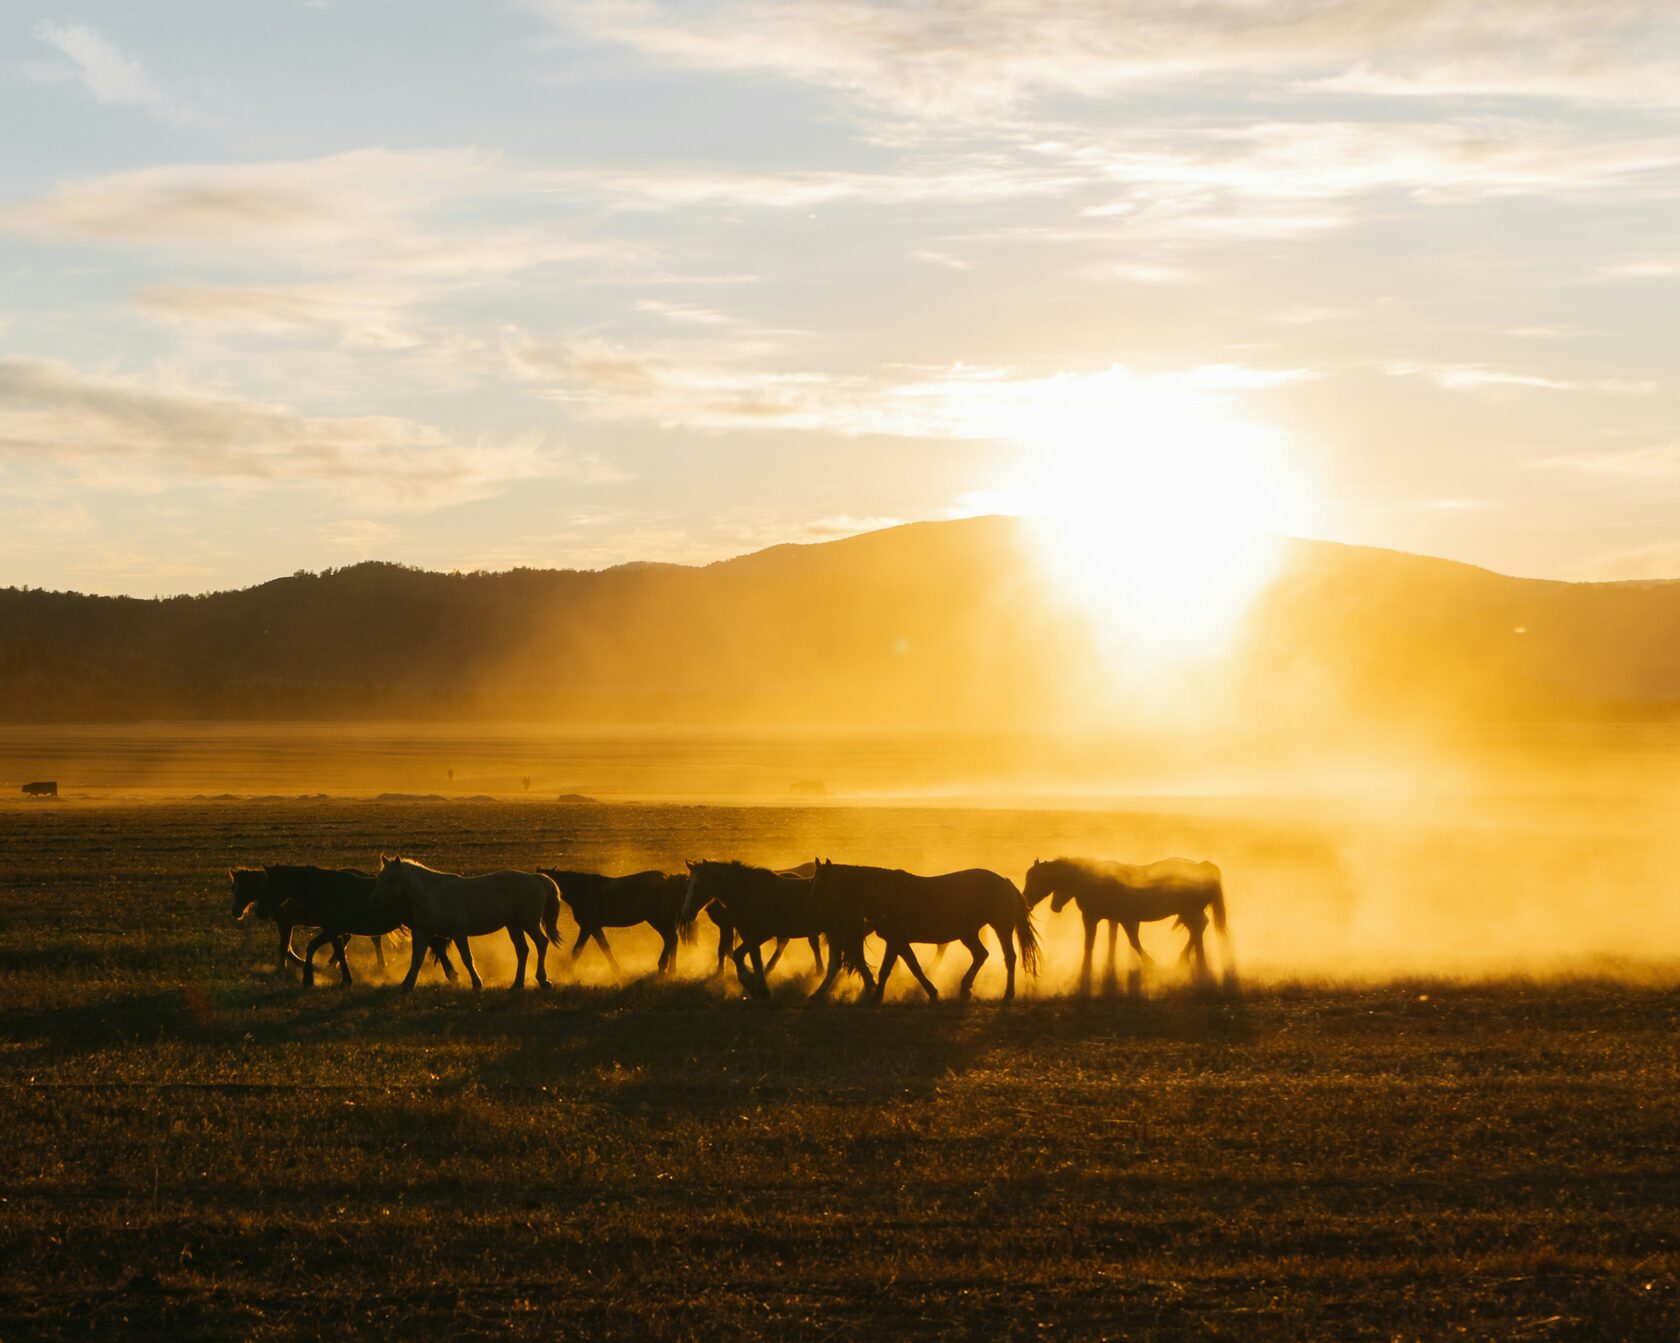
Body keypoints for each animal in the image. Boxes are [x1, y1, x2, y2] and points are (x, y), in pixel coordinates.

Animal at [371, 857, 561, 995]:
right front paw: (406, 987)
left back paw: (543, 980)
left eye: (392, 879)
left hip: (529, 923)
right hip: (513, 925)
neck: (435, 894)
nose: (373, 901)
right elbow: (416, 959)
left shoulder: (458, 932)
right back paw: (517, 984)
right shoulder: (425, 932)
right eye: (380, 877)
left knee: (541, 943)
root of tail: (536, 879)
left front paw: (477, 983)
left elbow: (467, 958)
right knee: (522, 950)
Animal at [540, 874, 692, 974]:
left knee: (671, 938)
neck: (583, 890)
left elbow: (577, 949)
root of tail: (670, 879)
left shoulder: (587, 926)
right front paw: (616, 969)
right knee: (671, 939)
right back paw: (667, 967)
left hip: (658, 919)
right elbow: (605, 946)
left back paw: (666, 967)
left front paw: (568, 972)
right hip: (658, 920)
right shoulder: (595, 927)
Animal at [678, 860, 846, 995]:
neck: (750, 893)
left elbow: (737, 954)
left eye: (700, 884)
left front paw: (749, 981)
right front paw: (762, 988)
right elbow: (755, 961)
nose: (686, 912)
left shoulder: (762, 934)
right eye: (687, 883)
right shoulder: (748, 936)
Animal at [803, 867, 1034, 1001]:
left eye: (822, 885)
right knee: (981, 955)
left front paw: (876, 997)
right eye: (813, 884)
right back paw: (965, 987)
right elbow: (911, 966)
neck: (885, 892)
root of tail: (1005, 882)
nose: (810, 910)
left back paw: (1008, 993)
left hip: (1001, 928)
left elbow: (890, 969)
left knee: (1008, 957)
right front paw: (931, 992)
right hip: (968, 934)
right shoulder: (898, 942)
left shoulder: (896, 940)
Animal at [1014, 857, 1229, 995]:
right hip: (1188, 914)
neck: (1091, 881)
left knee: (1198, 930)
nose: (1025, 901)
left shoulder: (1102, 919)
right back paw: (1187, 960)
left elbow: (1101, 944)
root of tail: (1203, 868)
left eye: (1036, 879)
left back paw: (1197, 965)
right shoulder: (1115, 919)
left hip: (1188, 913)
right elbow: (1112, 942)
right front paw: (1108, 969)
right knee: (1199, 929)